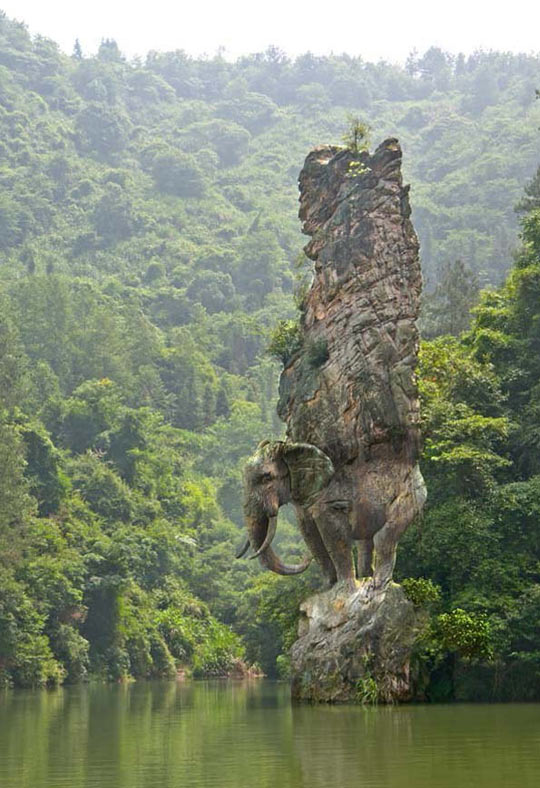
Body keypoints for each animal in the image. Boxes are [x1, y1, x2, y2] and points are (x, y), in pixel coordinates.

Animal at [236, 439, 426, 589]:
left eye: (266, 478)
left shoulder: (328, 496)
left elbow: (333, 534)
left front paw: (345, 589)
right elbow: (310, 535)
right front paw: (327, 587)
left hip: (412, 494)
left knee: (383, 537)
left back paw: (378, 584)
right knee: (367, 541)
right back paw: (367, 578)